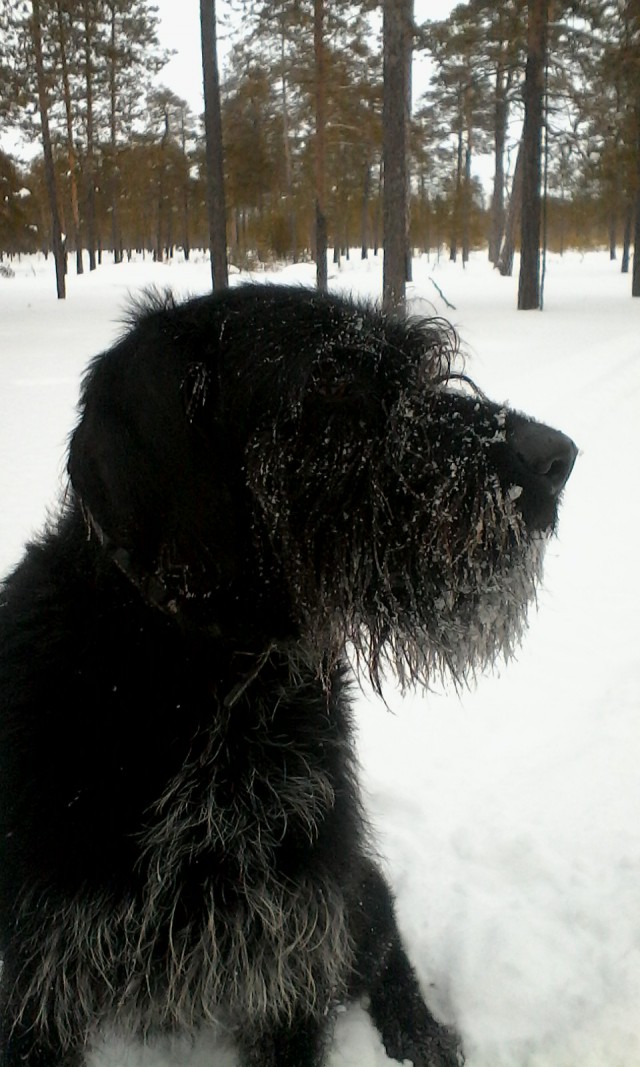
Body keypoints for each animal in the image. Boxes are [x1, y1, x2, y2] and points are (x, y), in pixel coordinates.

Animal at [0, 283, 576, 1067]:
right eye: (333, 380)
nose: (558, 457)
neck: (206, 687)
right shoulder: (35, 985)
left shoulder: (290, 963)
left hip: (346, 892)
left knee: (385, 936)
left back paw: (421, 1034)